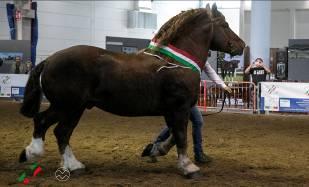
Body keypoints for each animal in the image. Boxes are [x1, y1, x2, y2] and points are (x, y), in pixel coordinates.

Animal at [19, 3, 244, 178]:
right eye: (225, 25)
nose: (241, 45)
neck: (175, 63)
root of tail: (49, 60)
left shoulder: (174, 110)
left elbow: (173, 134)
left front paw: (156, 150)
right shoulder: (179, 108)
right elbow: (181, 134)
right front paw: (188, 167)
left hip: (75, 108)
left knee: (60, 131)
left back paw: (72, 165)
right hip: (67, 106)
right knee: (46, 123)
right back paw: (37, 154)